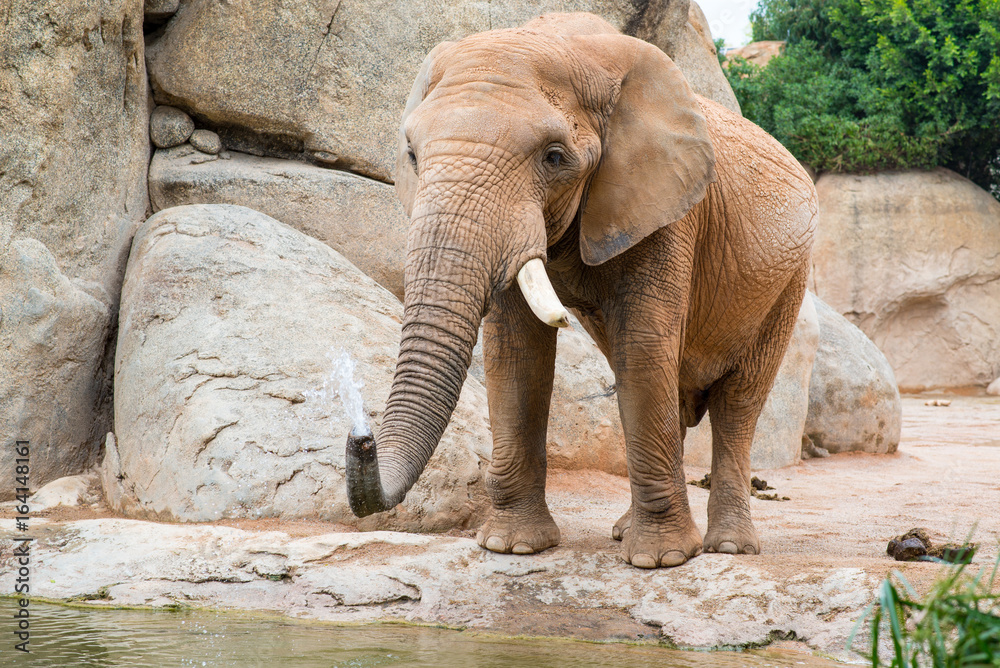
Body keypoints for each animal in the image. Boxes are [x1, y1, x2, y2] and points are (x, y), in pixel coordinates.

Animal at [346, 12, 817, 569]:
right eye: (413, 156)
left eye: (554, 158)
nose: (361, 438)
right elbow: (516, 350)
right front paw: (512, 546)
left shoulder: (667, 208)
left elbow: (644, 343)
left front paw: (659, 561)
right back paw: (627, 530)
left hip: (788, 282)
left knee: (736, 402)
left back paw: (728, 546)